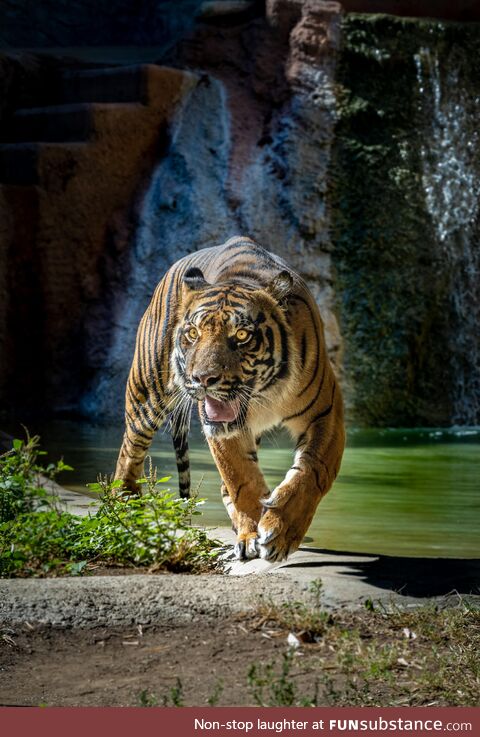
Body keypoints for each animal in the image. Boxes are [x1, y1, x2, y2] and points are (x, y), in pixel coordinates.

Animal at [115, 236, 345, 562]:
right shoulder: (221, 427)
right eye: (193, 333)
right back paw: (125, 507)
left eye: (242, 336)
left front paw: (281, 531)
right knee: (129, 451)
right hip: (146, 394)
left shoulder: (325, 413)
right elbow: (241, 478)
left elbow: (312, 472)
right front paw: (253, 534)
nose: (202, 379)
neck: (265, 393)